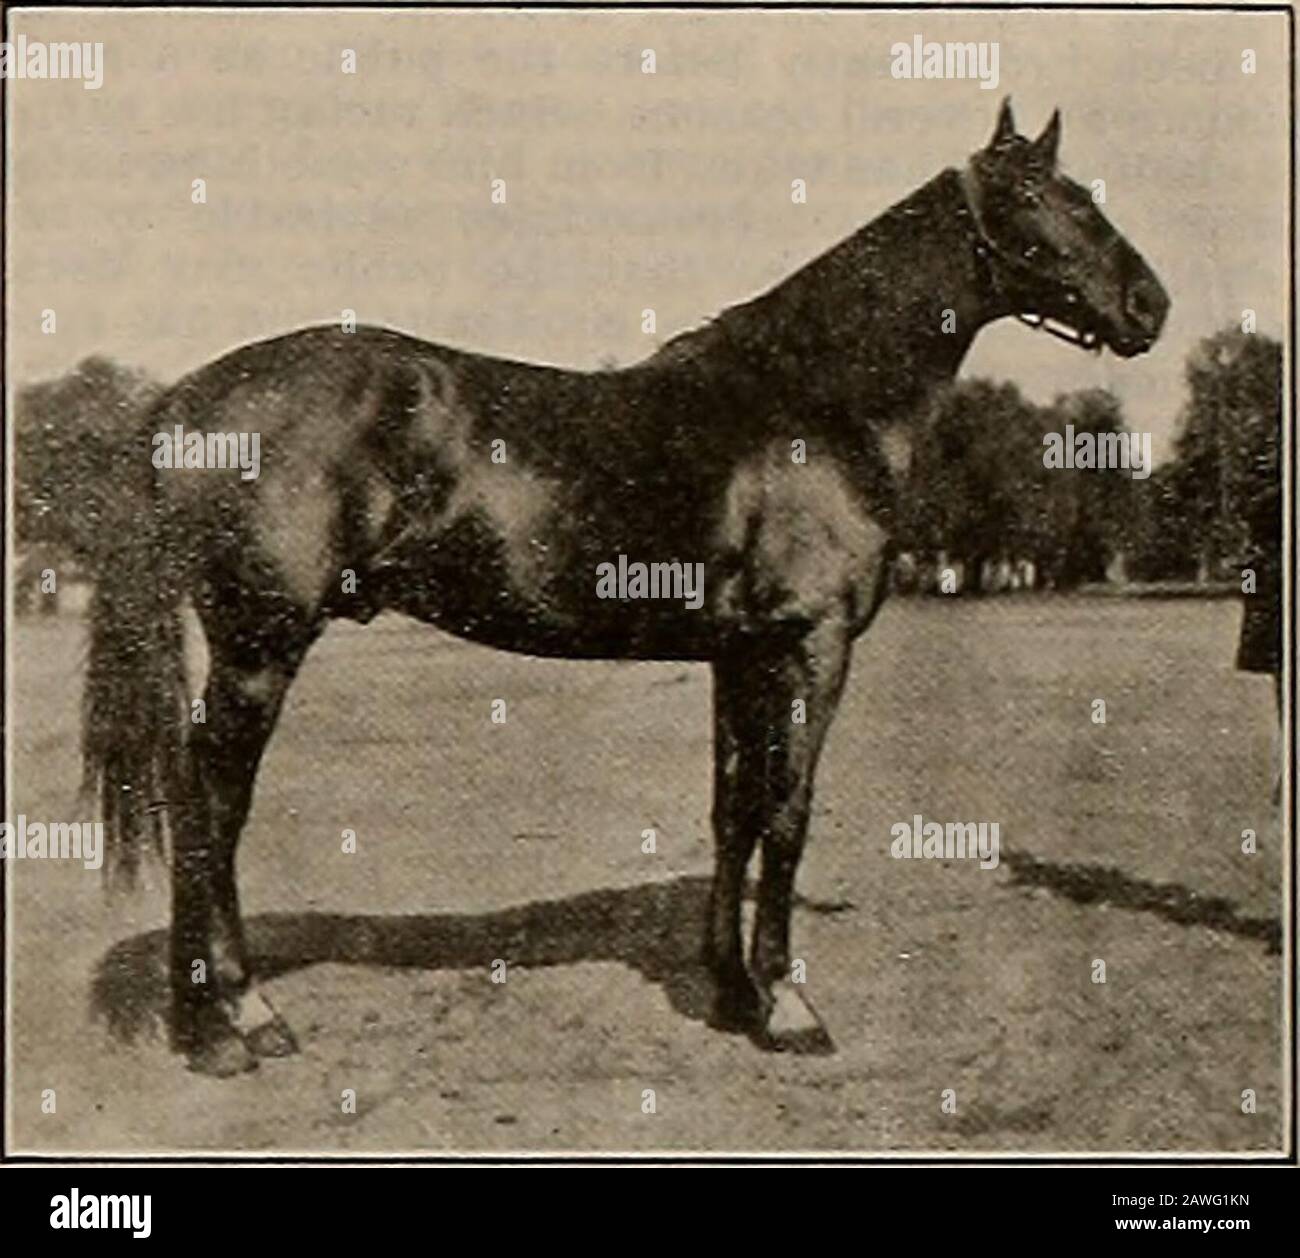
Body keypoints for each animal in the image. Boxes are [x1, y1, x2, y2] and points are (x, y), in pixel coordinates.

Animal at [86, 98, 1175, 1076]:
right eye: (1042, 198)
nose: (1149, 306)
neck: (814, 401)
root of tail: (183, 398)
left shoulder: (742, 653)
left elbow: (735, 810)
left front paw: (732, 990)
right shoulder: (812, 644)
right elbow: (789, 814)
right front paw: (788, 1008)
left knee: (197, 802)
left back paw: (211, 1024)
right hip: (259, 647)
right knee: (213, 807)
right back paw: (237, 1019)